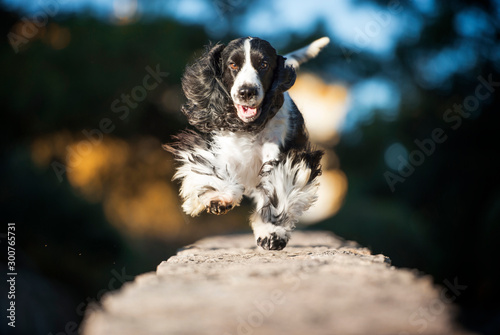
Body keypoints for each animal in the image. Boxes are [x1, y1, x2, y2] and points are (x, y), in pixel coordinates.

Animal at [166, 37, 330, 249]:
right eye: (233, 64)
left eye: (264, 64)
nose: (246, 91)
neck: (250, 127)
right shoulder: (225, 150)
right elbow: (213, 170)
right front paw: (219, 198)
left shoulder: (280, 158)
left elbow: (278, 190)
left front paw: (271, 232)